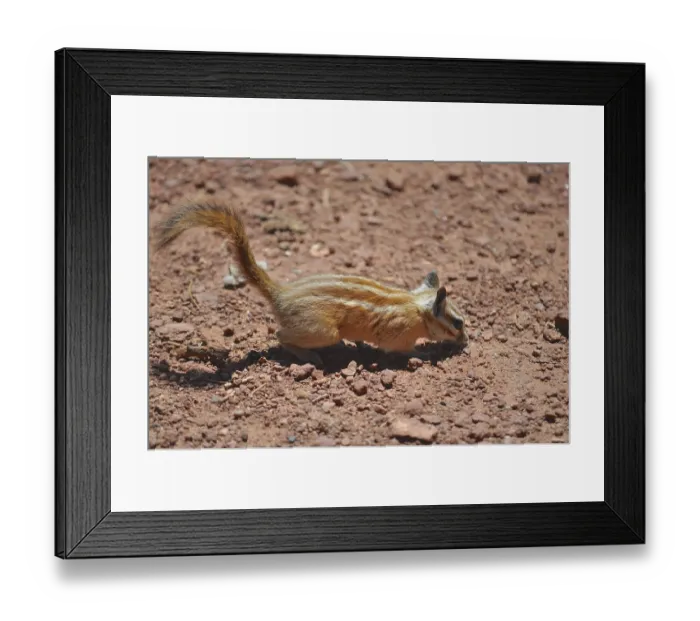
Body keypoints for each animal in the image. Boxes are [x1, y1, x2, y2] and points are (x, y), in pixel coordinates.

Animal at [154, 201, 468, 367]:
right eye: (458, 322)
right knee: (280, 335)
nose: (466, 343)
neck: (416, 308)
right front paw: (424, 353)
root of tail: (280, 294)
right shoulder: (399, 336)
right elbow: (403, 350)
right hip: (323, 331)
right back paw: (310, 356)